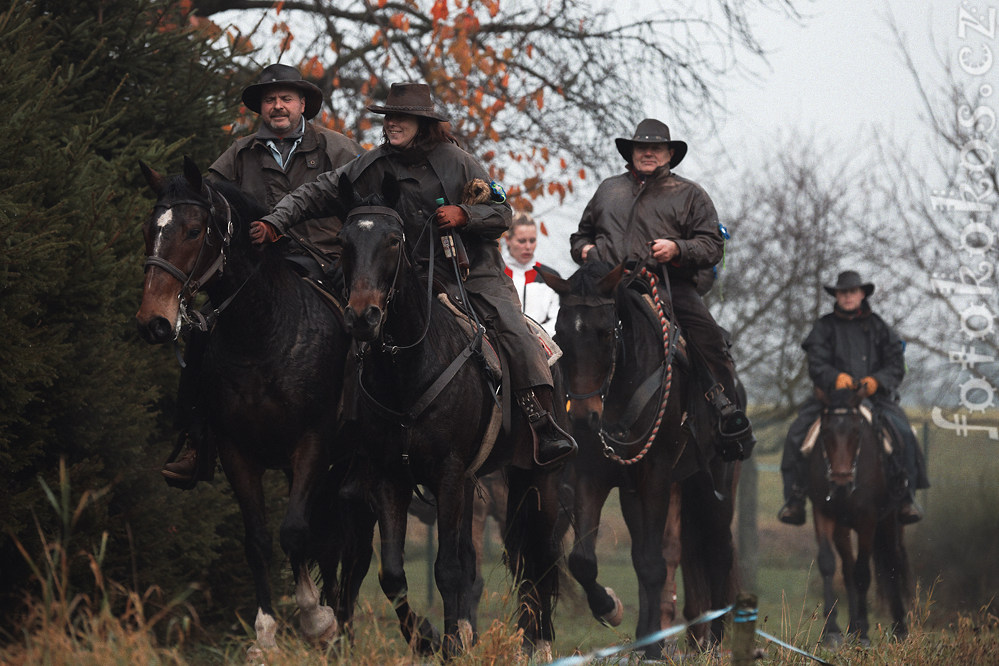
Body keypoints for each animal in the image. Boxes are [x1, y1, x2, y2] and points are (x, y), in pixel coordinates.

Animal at [133, 157, 368, 652]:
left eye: (194, 230)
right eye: (148, 229)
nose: (153, 321)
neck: (263, 334)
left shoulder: (311, 444)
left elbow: (294, 531)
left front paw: (316, 619)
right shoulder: (236, 451)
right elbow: (259, 540)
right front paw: (265, 635)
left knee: (350, 550)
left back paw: (342, 628)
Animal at [808, 384, 912, 644]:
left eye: (856, 432)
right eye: (825, 431)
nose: (841, 483)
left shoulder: (868, 519)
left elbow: (863, 572)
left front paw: (864, 632)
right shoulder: (823, 512)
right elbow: (828, 563)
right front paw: (832, 631)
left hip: (889, 521)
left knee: (892, 561)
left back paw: (899, 628)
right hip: (844, 527)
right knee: (847, 568)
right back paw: (851, 627)